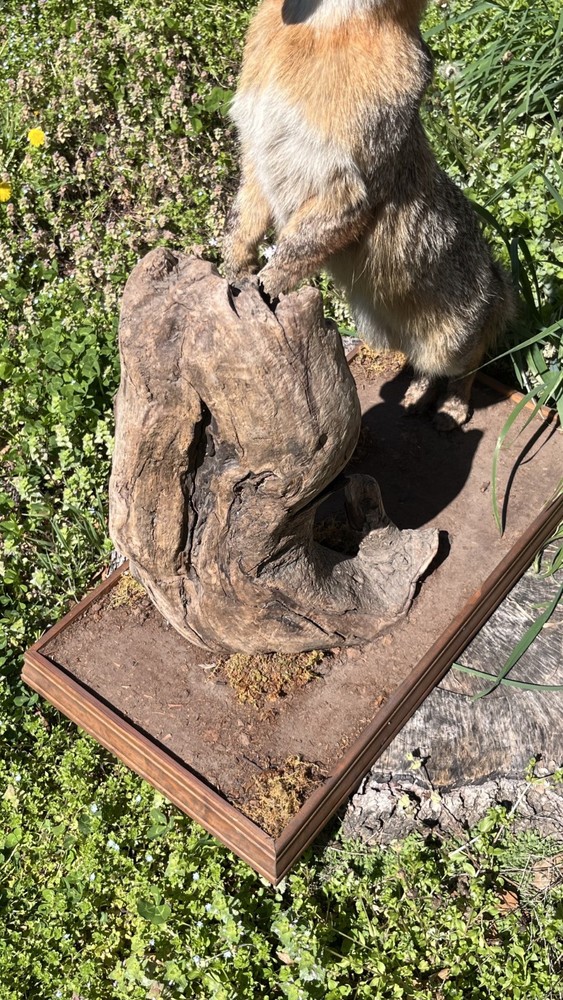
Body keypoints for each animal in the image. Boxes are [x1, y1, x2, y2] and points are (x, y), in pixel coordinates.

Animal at [223, 0, 515, 429]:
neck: (323, 31)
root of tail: (497, 283)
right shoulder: (257, 155)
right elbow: (245, 219)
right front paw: (235, 268)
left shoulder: (347, 185)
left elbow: (298, 245)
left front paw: (266, 283)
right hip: (392, 332)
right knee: (425, 366)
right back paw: (415, 397)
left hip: (454, 338)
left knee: (470, 361)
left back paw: (452, 408)